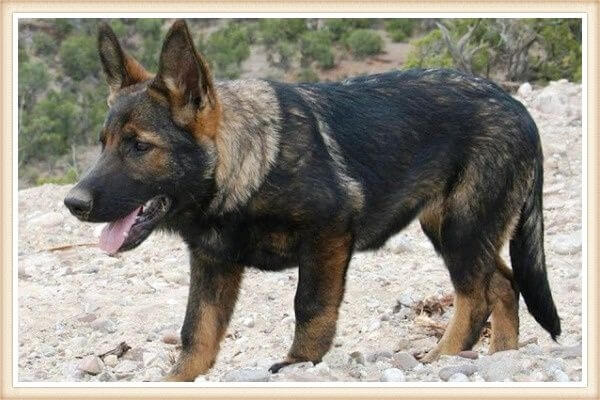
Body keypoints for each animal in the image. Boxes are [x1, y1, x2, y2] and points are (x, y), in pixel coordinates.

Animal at [65, 19, 564, 382]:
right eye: (104, 144)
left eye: (139, 147)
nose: (73, 203)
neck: (247, 166)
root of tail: (517, 107)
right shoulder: (212, 263)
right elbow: (196, 332)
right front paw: (178, 379)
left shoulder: (328, 237)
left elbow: (310, 307)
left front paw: (299, 363)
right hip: (453, 228)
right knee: (503, 285)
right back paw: (502, 357)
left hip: (461, 228)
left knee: (475, 296)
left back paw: (443, 356)